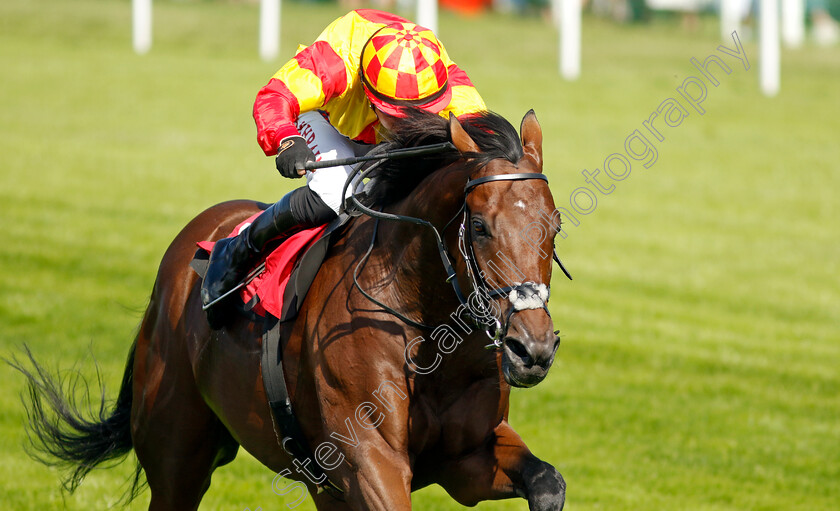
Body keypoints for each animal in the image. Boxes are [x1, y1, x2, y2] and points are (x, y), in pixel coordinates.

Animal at [14, 107, 572, 508]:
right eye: (479, 226)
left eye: (555, 224)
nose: (532, 349)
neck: (424, 331)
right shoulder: (370, 460)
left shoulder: (465, 457)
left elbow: (548, 482)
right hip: (176, 451)